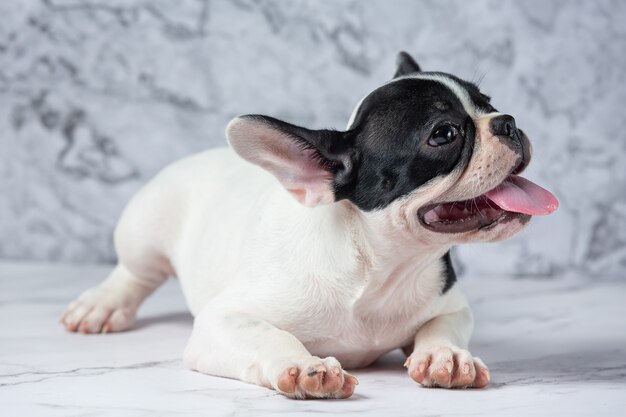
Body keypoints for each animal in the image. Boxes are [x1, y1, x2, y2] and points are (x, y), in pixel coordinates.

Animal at [61, 52, 556, 400]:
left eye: (489, 104)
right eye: (445, 134)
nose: (508, 122)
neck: (376, 267)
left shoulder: (450, 304)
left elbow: (441, 326)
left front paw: (446, 356)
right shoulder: (223, 321)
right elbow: (268, 334)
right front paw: (302, 366)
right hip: (145, 229)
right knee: (134, 273)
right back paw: (103, 304)